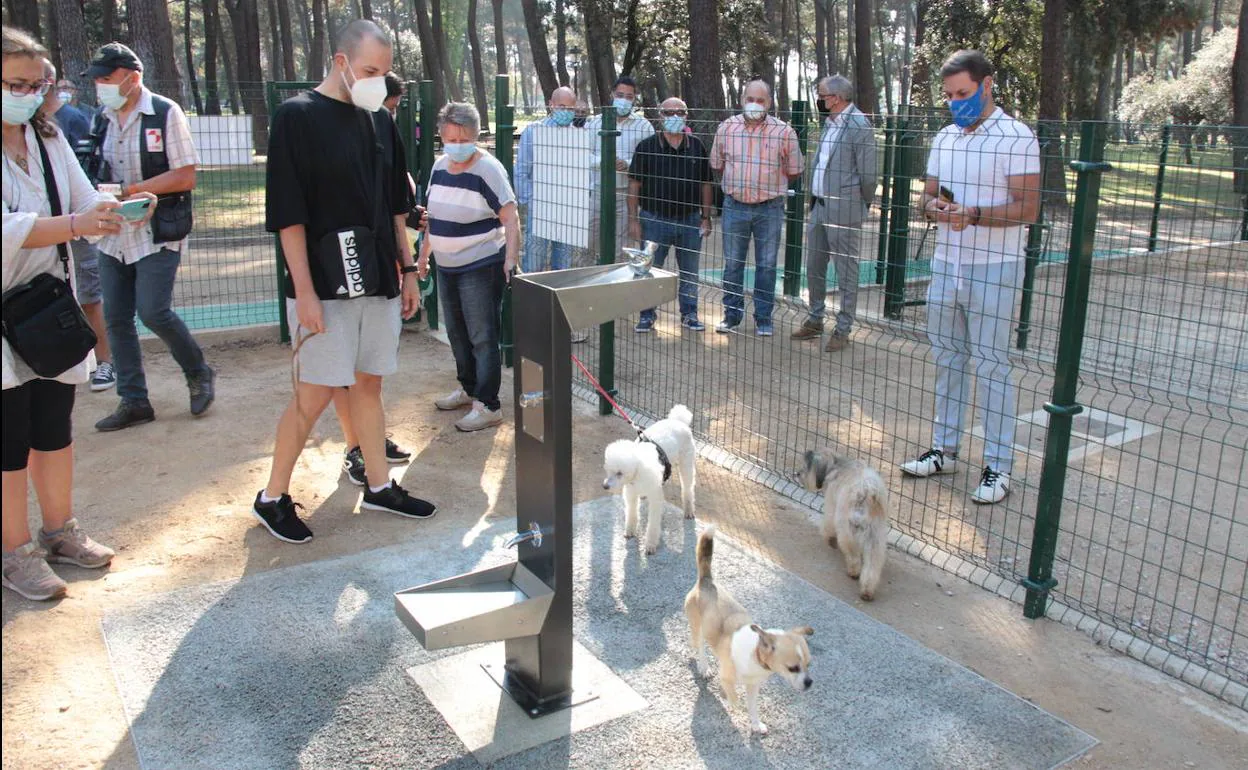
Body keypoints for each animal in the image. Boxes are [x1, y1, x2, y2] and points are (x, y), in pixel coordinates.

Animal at [688, 521, 813, 733]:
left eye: (808, 665)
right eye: (793, 668)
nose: (810, 682)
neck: (755, 653)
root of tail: (706, 581)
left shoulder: (753, 687)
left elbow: (753, 708)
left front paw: (755, 724)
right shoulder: (728, 678)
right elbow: (735, 699)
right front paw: (728, 700)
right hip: (697, 629)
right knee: (700, 648)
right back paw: (704, 667)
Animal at [798, 449, 888, 601]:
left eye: (806, 467)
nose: (797, 474)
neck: (836, 465)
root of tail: (865, 491)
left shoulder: (831, 504)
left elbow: (828, 523)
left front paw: (829, 539)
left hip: (847, 531)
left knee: (853, 556)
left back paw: (853, 572)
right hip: (875, 538)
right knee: (872, 565)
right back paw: (867, 590)